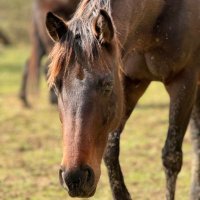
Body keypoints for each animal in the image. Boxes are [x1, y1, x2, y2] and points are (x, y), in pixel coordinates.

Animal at [45, 0, 200, 199]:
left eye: (107, 84)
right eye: (56, 86)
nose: (74, 177)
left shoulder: (184, 81)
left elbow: (171, 156)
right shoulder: (130, 83)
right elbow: (111, 151)